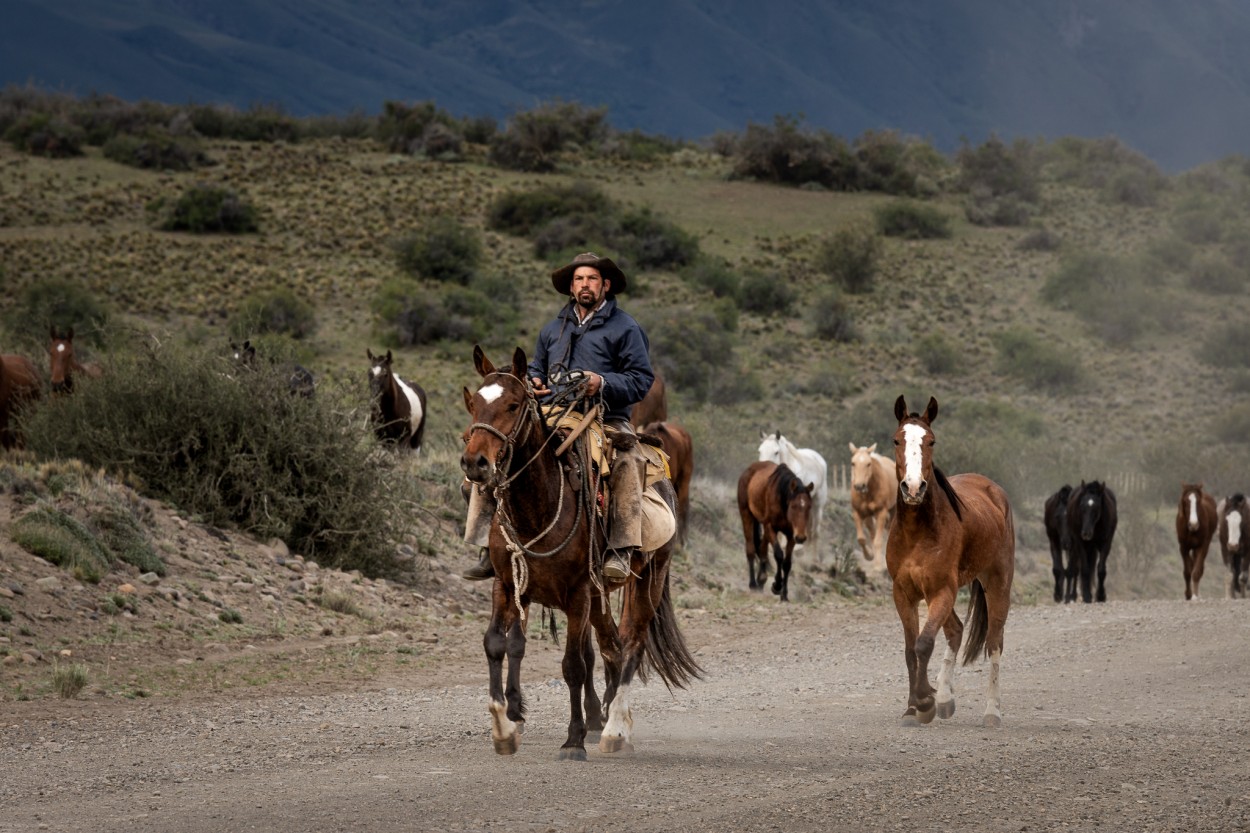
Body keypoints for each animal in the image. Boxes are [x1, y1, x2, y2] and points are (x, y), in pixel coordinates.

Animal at [462, 342, 700, 760]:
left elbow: (573, 664)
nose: (475, 462)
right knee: (611, 647)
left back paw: (614, 728)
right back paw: (606, 718)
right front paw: (504, 727)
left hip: (648, 581)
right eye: (474, 403)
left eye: (513, 404)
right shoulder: (508, 585)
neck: (536, 507)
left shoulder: (577, 594)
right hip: (599, 597)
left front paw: (573, 739)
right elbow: (497, 644)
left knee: (631, 644)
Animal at [735, 457, 815, 600]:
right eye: (793, 506)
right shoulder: (771, 528)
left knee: (762, 549)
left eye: (809, 506)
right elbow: (778, 554)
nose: (801, 537)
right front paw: (777, 585)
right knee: (751, 550)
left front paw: (784, 595)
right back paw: (753, 584)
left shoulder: (791, 535)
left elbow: (787, 563)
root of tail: (747, 471)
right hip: (747, 515)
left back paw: (761, 580)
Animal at [845, 440, 895, 570]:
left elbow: (878, 541)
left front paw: (878, 566)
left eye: (868, 464)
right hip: (868, 516)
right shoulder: (857, 512)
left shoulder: (881, 512)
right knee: (872, 534)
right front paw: (869, 556)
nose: (859, 486)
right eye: (853, 463)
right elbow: (861, 539)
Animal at [890, 395, 1015, 725]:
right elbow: (910, 649)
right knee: (956, 631)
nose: (913, 487)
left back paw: (992, 711)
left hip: (997, 584)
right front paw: (914, 707)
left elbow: (923, 644)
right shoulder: (904, 594)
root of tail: (994, 491)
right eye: (896, 439)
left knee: (994, 642)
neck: (917, 533)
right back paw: (946, 698)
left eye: (931, 441)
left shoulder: (941, 591)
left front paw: (924, 702)